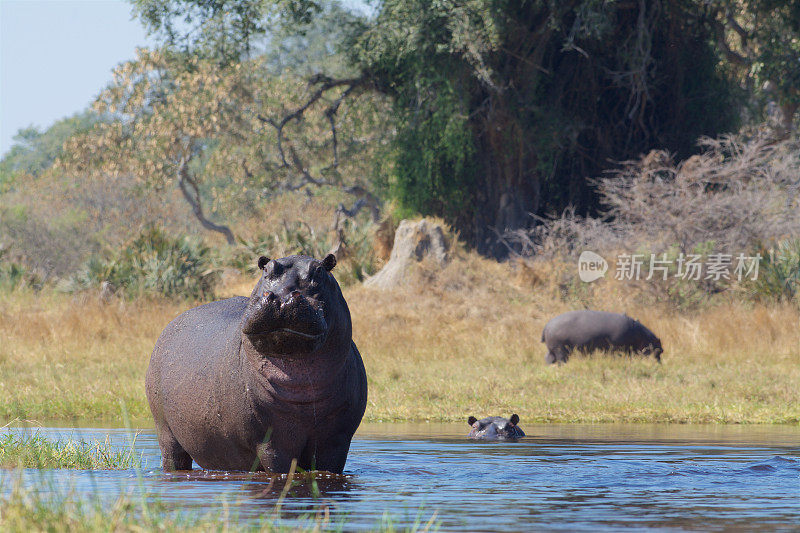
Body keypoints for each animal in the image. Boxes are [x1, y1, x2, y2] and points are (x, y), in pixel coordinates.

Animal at [145, 254, 368, 474]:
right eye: (266, 269)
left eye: (319, 271)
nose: (282, 297)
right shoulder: (270, 442)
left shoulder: (336, 441)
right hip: (165, 432)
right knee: (173, 457)